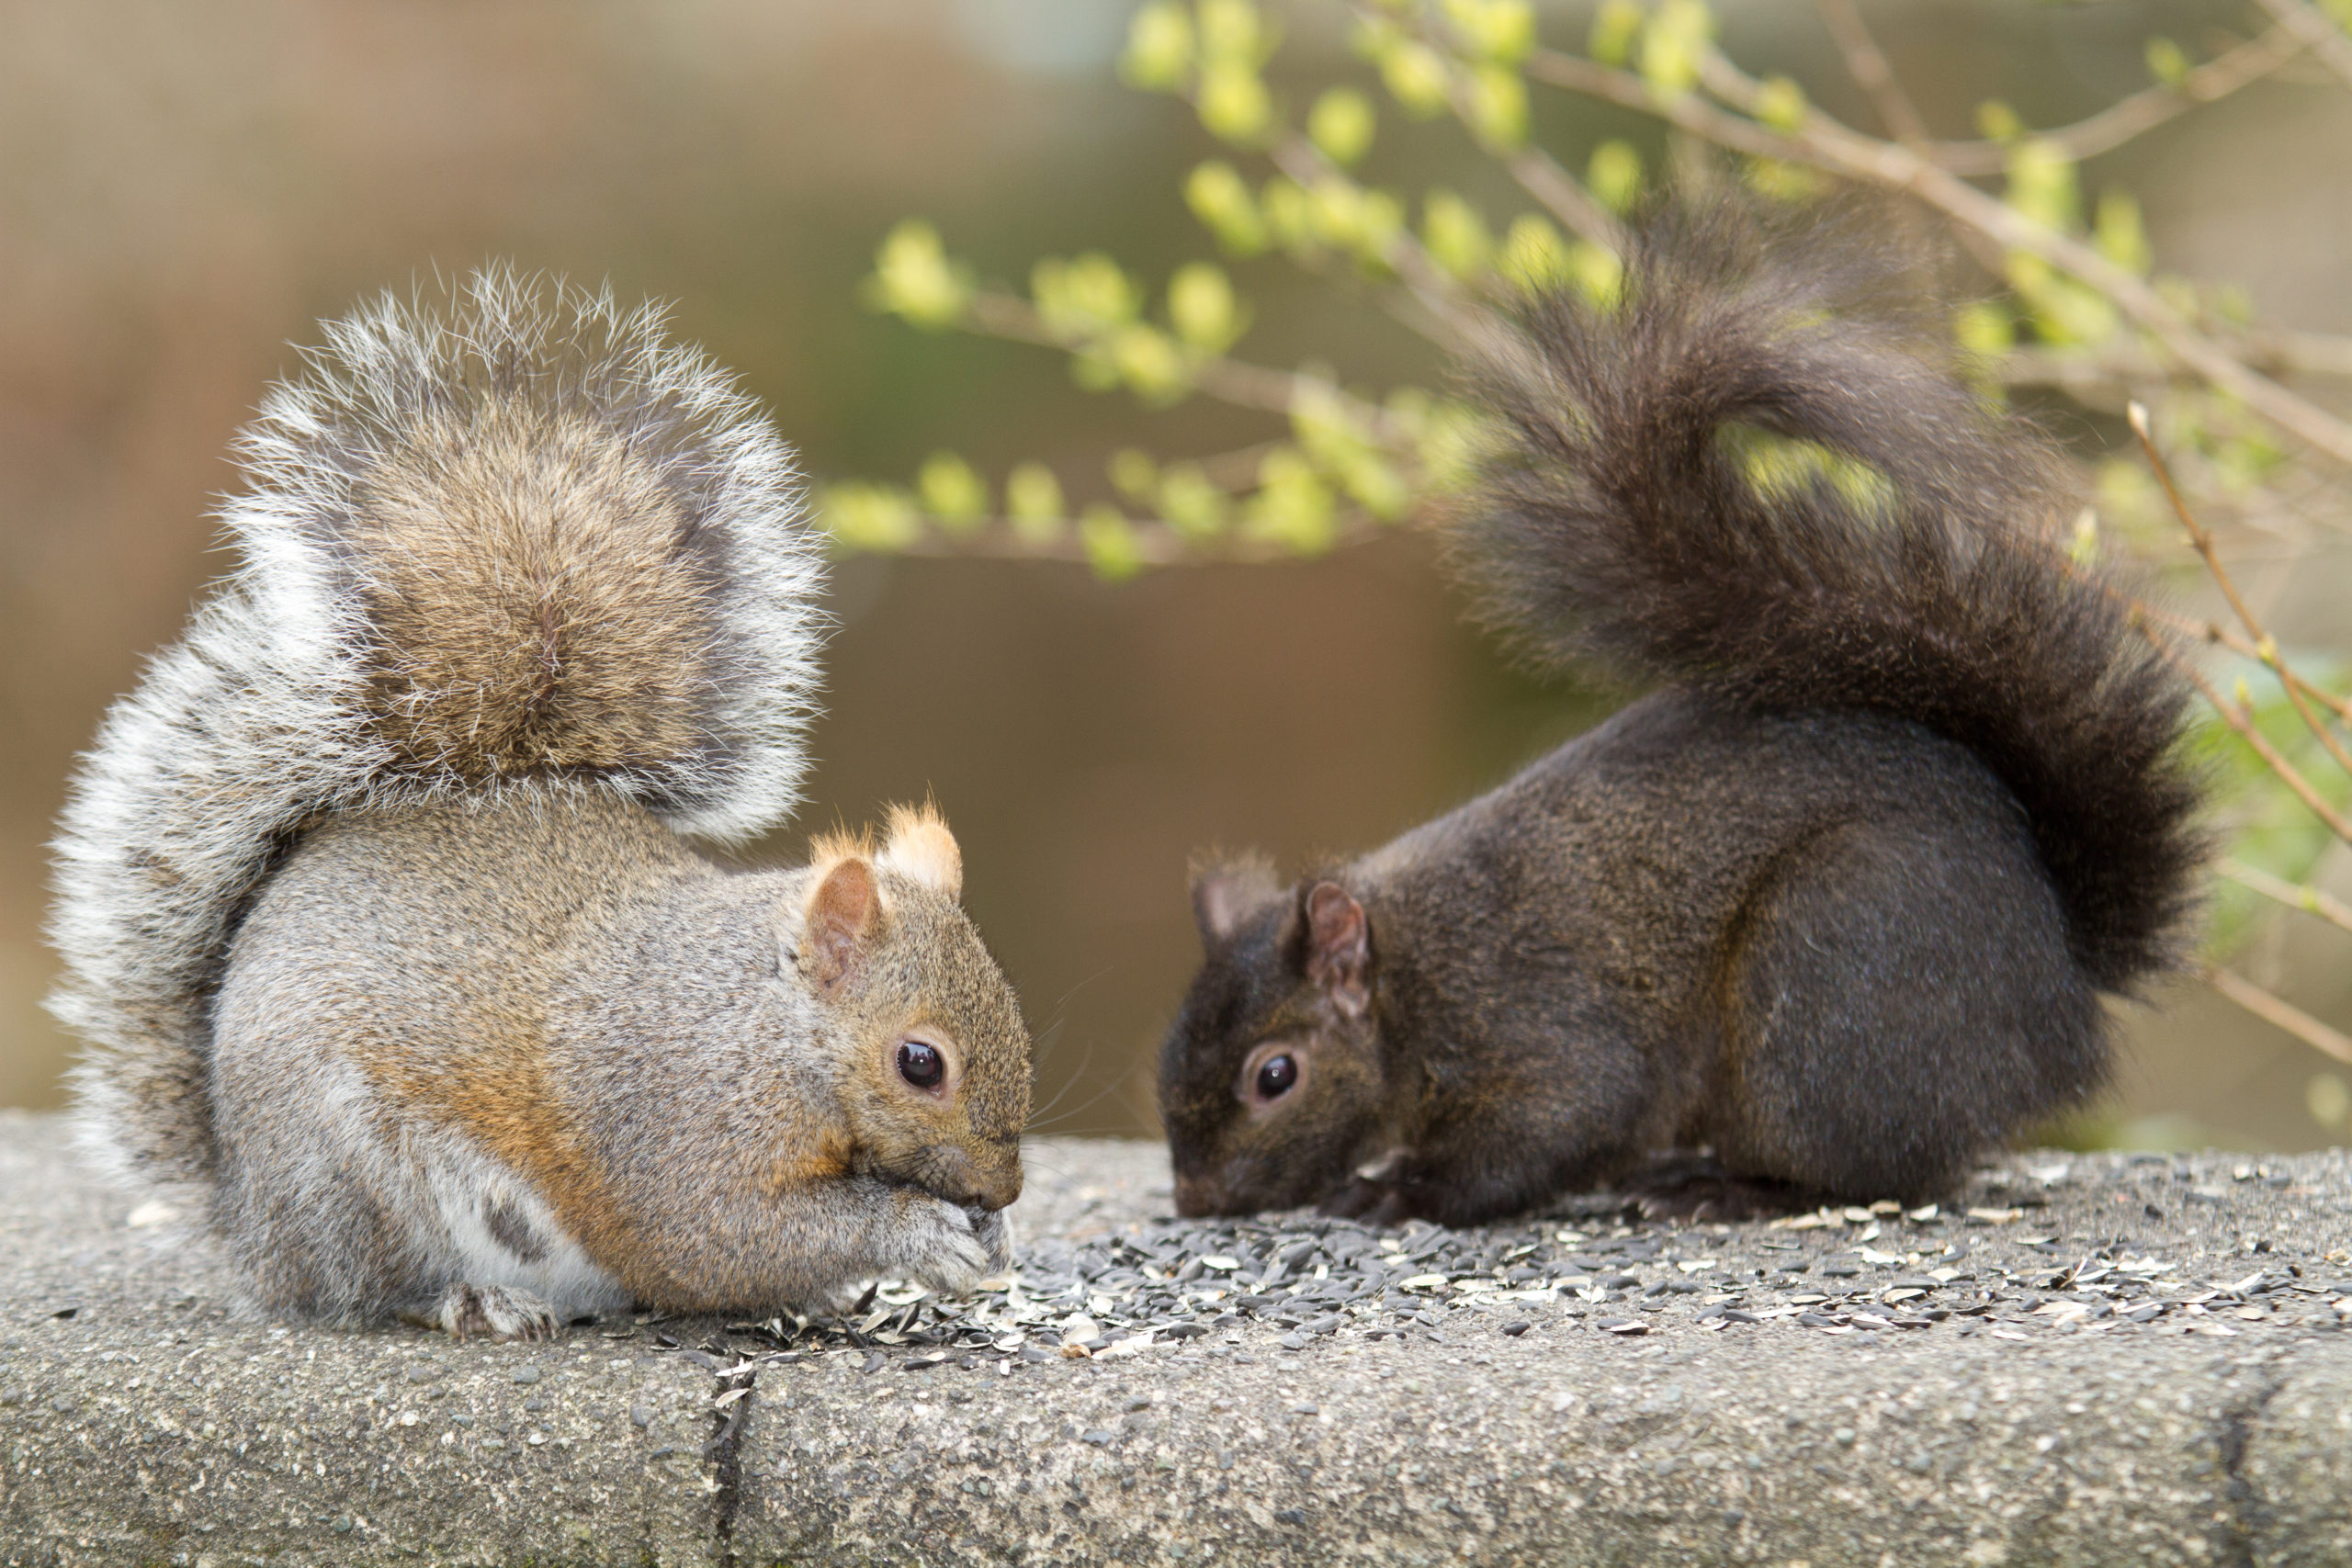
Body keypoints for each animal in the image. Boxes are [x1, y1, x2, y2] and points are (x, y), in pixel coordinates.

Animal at [1157, 205, 2201, 1222]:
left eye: (1275, 1076)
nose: (1195, 1197)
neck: (1407, 975)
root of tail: (2064, 983)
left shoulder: (1532, 1023)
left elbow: (1551, 1125)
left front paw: (1398, 1188)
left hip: (1833, 974)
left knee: (1884, 1170)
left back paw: (1729, 1188)